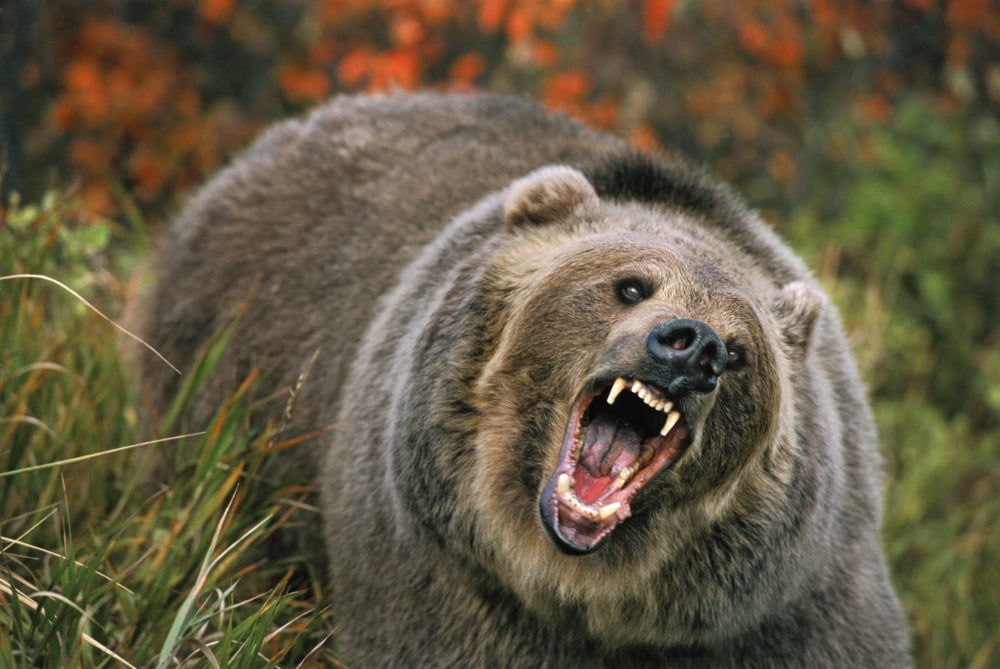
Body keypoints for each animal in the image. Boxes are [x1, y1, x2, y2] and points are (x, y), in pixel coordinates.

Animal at [132, 92, 910, 667]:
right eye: (631, 285)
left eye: (743, 352)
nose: (695, 348)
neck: (583, 594)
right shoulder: (439, 577)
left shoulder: (787, 609)